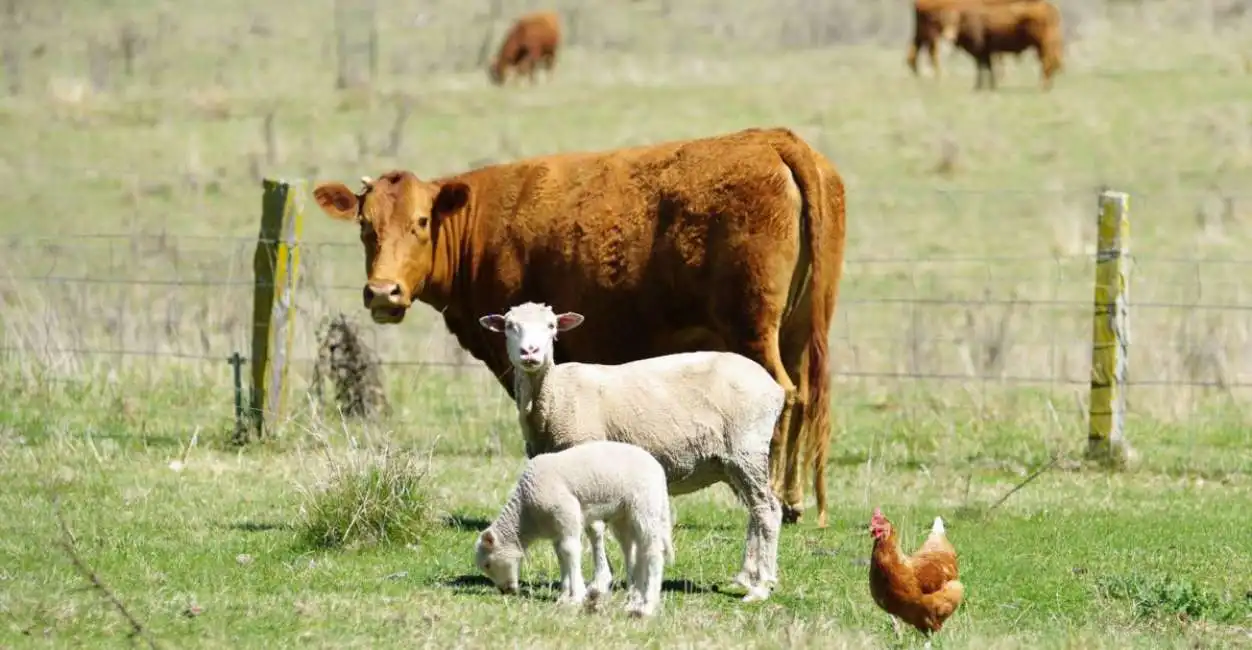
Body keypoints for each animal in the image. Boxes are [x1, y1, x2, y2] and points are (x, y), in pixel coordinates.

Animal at [310, 127, 851, 528]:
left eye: (422, 222)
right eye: (365, 226)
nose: (383, 292)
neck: (482, 226)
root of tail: (773, 140)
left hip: (753, 331)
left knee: (783, 395)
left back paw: (770, 498)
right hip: (798, 329)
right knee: (804, 398)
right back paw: (794, 501)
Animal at [475, 440, 681, 618]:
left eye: (488, 564)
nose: (505, 591)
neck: (526, 516)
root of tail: (659, 472)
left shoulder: (566, 513)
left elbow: (570, 551)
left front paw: (576, 596)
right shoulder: (557, 528)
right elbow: (561, 556)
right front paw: (565, 595)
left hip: (645, 506)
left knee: (653, 552)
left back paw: (647, 606)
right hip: (625, 515)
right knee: (633, 551)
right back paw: (632, 598)